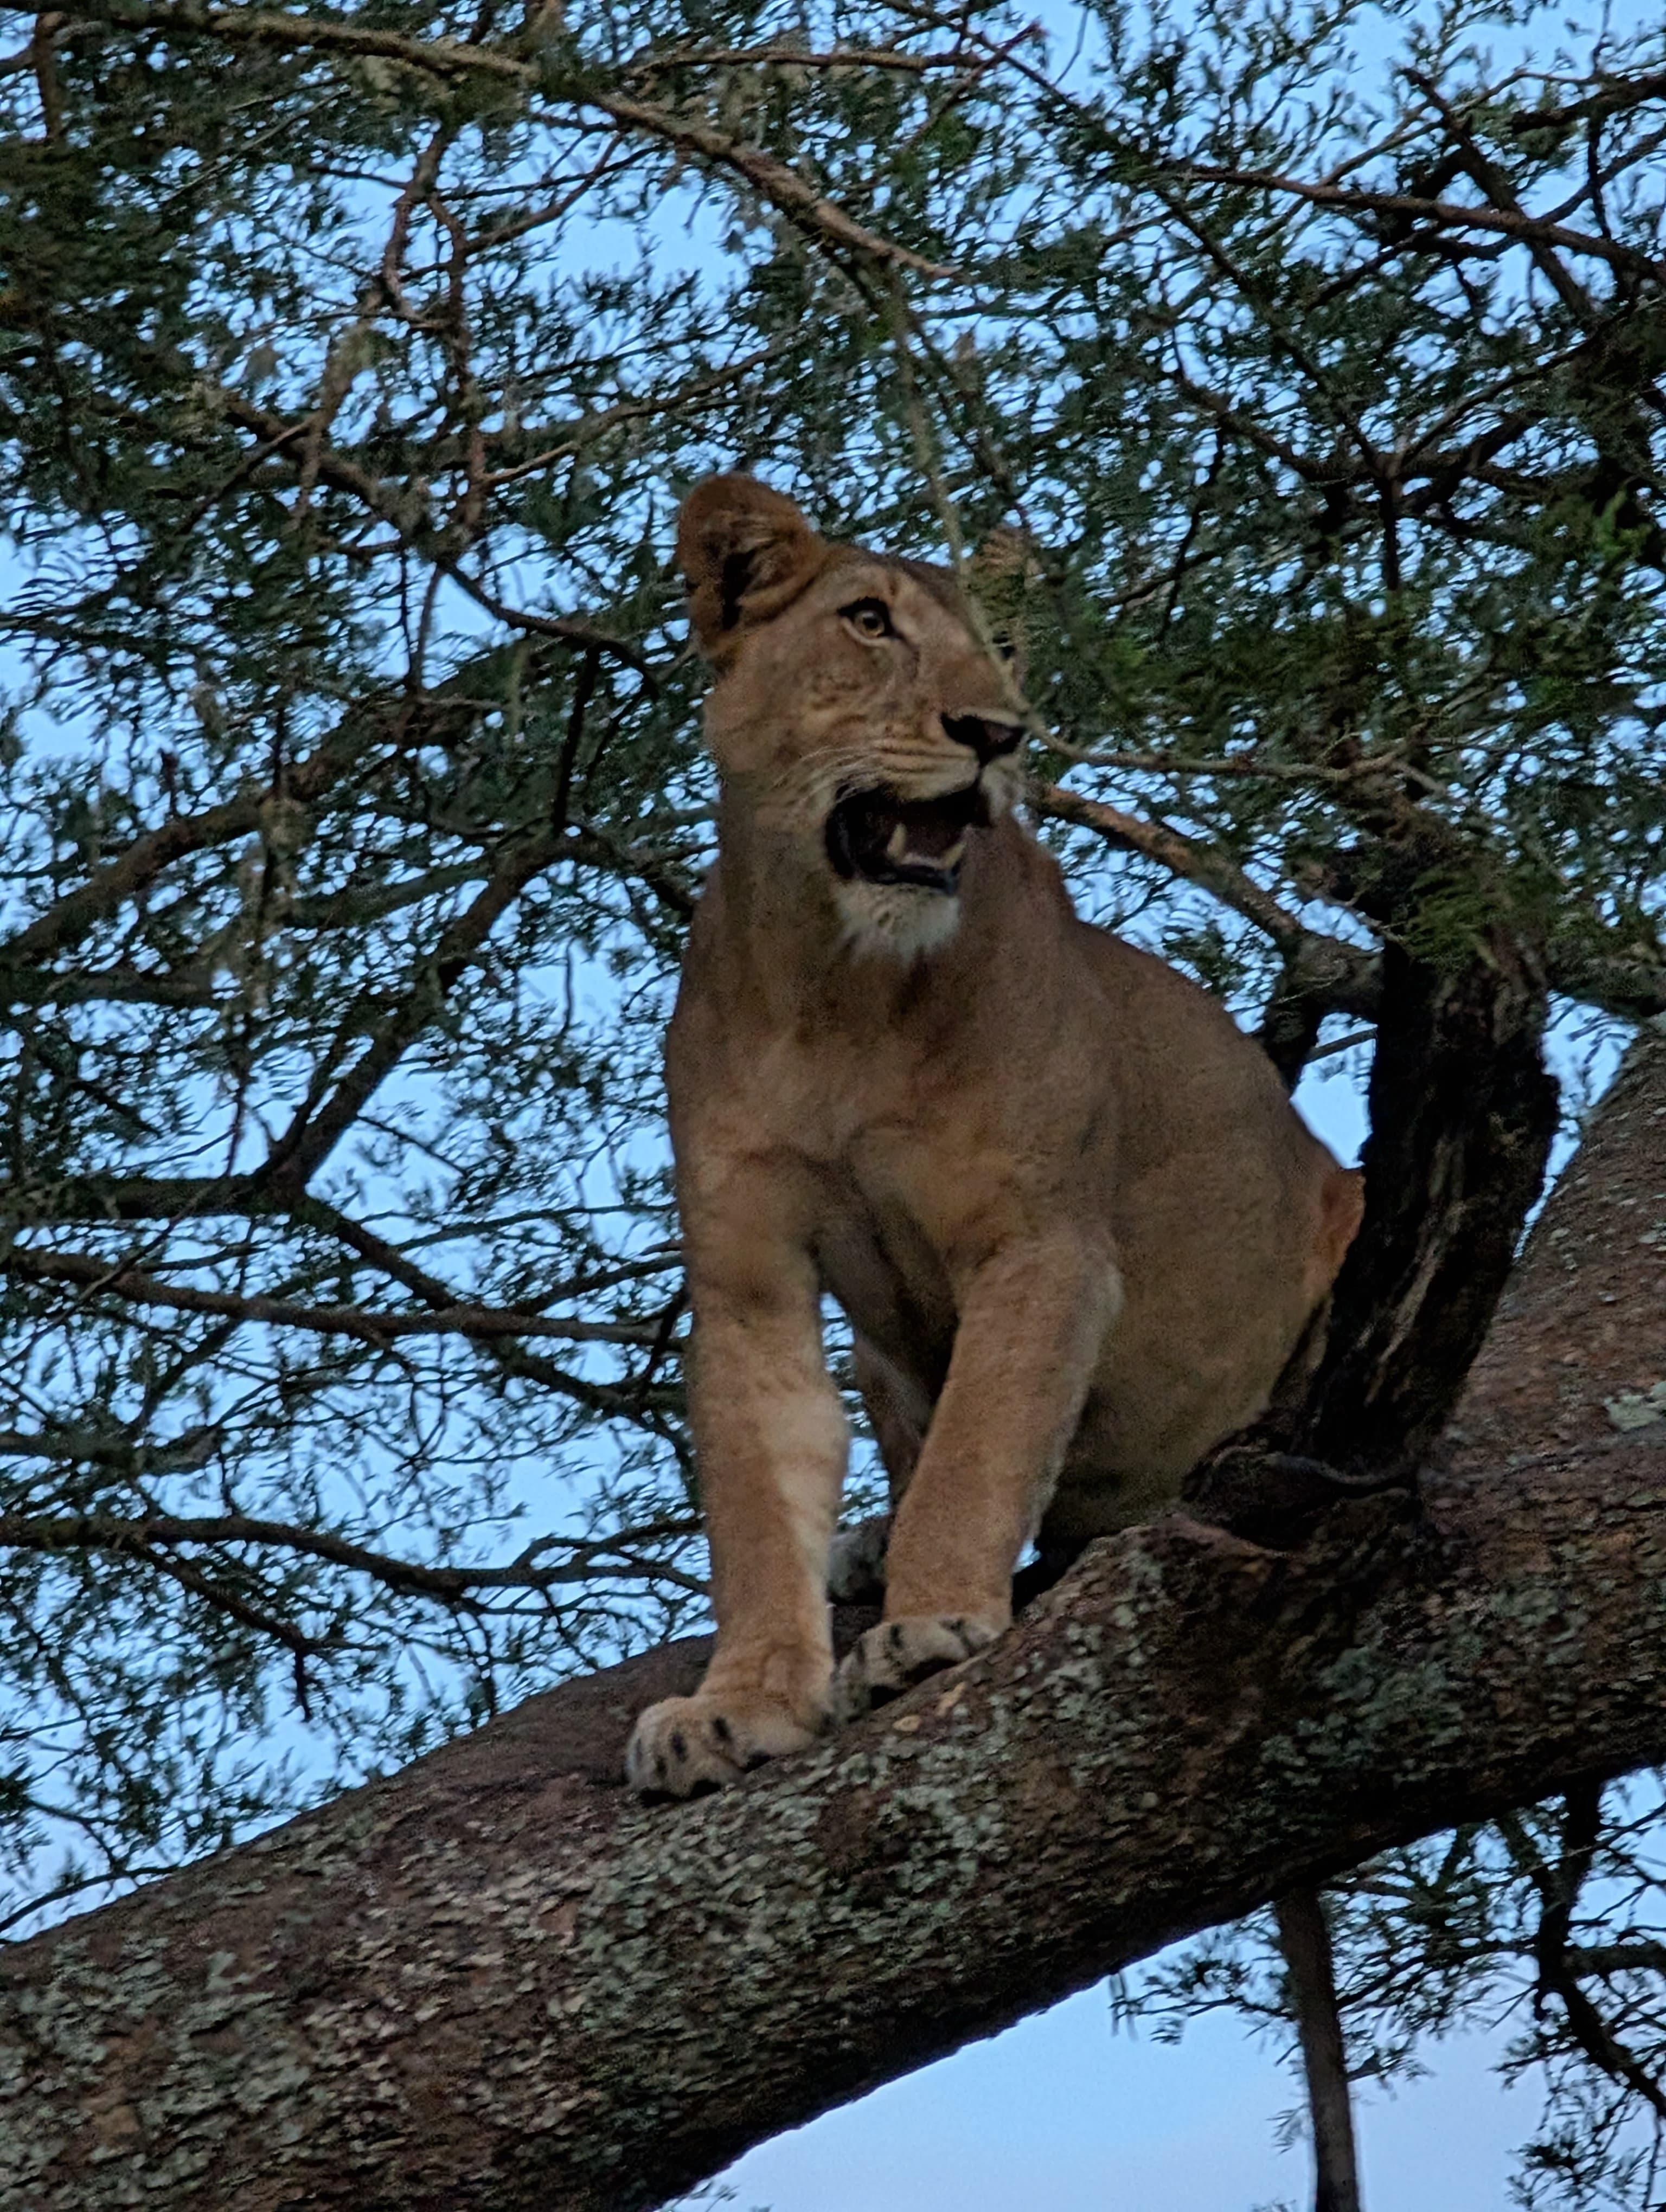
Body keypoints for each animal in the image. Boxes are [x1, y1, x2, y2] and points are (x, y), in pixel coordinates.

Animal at [625, 473, 1363, 1797]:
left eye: (1004, 646)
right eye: (870, 623)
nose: (998, 734)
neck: (836, 992)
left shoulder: (1042, 1244)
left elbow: (979, 1448)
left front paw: (927, 1633)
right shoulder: (749, 1279)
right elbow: (758, 1505)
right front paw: (738, 1706)